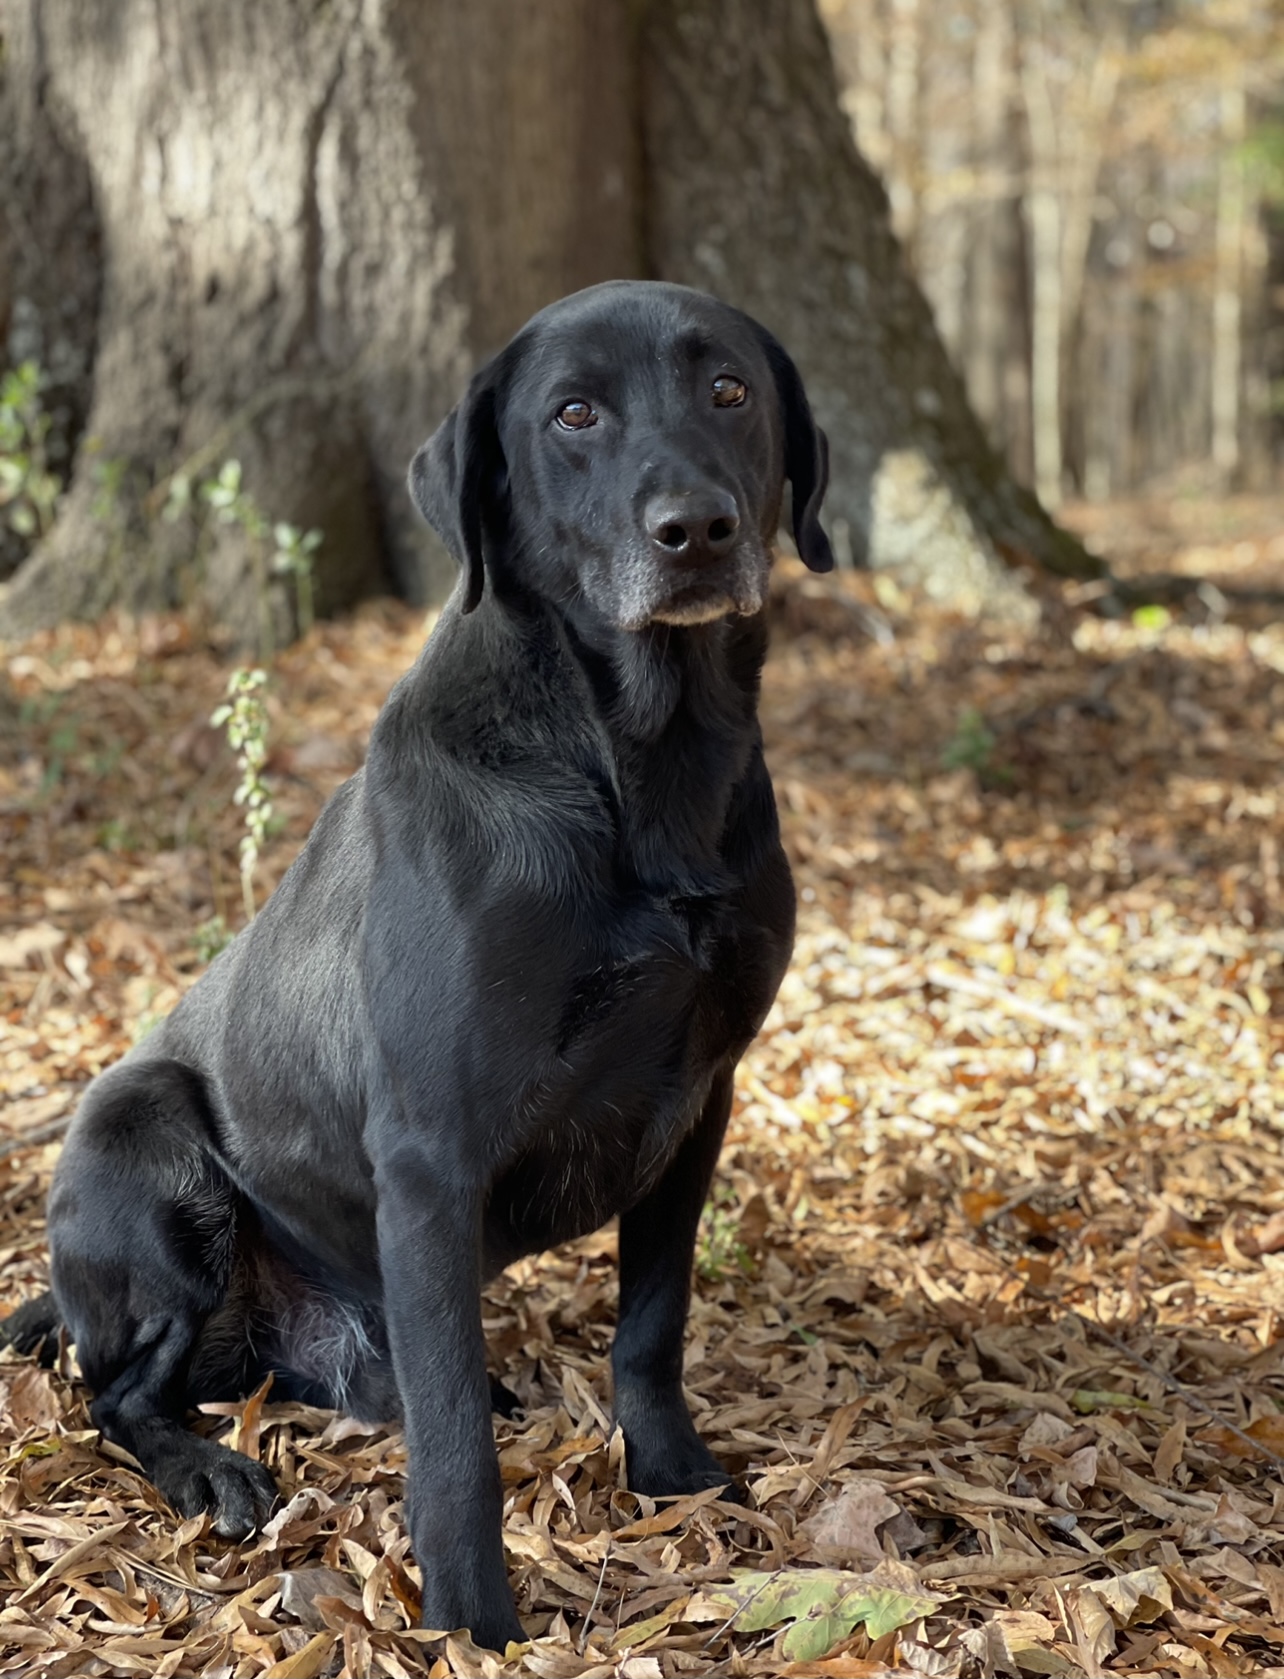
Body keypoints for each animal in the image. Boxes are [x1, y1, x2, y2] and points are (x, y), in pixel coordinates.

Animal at [2, 278, 832, 1652]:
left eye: (730, 392)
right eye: (573, 412)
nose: (697, 529)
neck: (634, 766)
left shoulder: (700, 1098)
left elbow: (651, 1323)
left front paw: (670, 1472)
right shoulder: (433, 1149)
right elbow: (451, 1446)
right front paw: (466, 1614)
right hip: (145, 1137)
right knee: (115, 1393)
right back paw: (212, 1470)